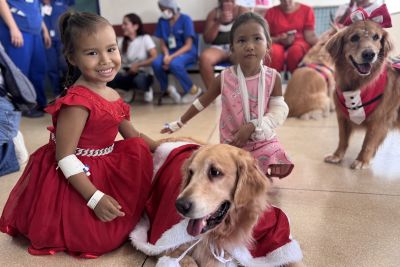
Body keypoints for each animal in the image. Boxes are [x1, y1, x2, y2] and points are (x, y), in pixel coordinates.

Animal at [324, 4, 398, 170]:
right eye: (354, 38)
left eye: (376, 37)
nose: (369, 54)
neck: (358, 84)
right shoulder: (342, 116)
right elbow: (342, 139)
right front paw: (337, 156)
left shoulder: (380, 120)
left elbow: (368, 142)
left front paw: (362, 160)